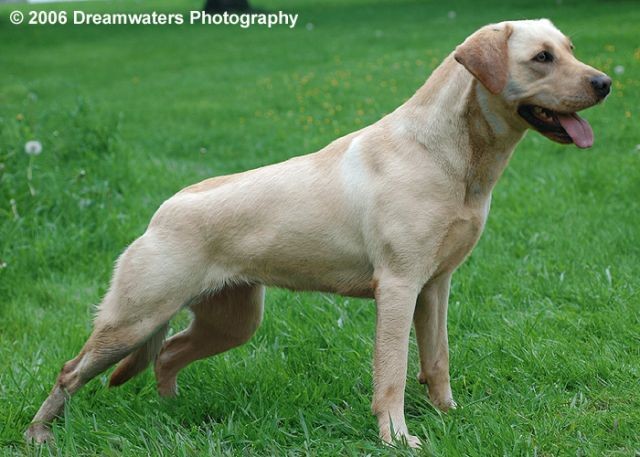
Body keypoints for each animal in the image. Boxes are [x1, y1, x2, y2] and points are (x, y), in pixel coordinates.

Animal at [25, 19, 608, 448]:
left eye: (570, 50)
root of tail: (160, 212)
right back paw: (39, 434)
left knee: (166, 355)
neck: (450, 155)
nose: (604, 83)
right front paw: (397, 438)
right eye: (541, 58)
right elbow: (393, 374)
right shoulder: (398, 287)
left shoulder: (436, 286)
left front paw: (448, 416)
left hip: (232, 321)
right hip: (133, 318)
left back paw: (172, 412)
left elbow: (437, 360)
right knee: (70, 371)